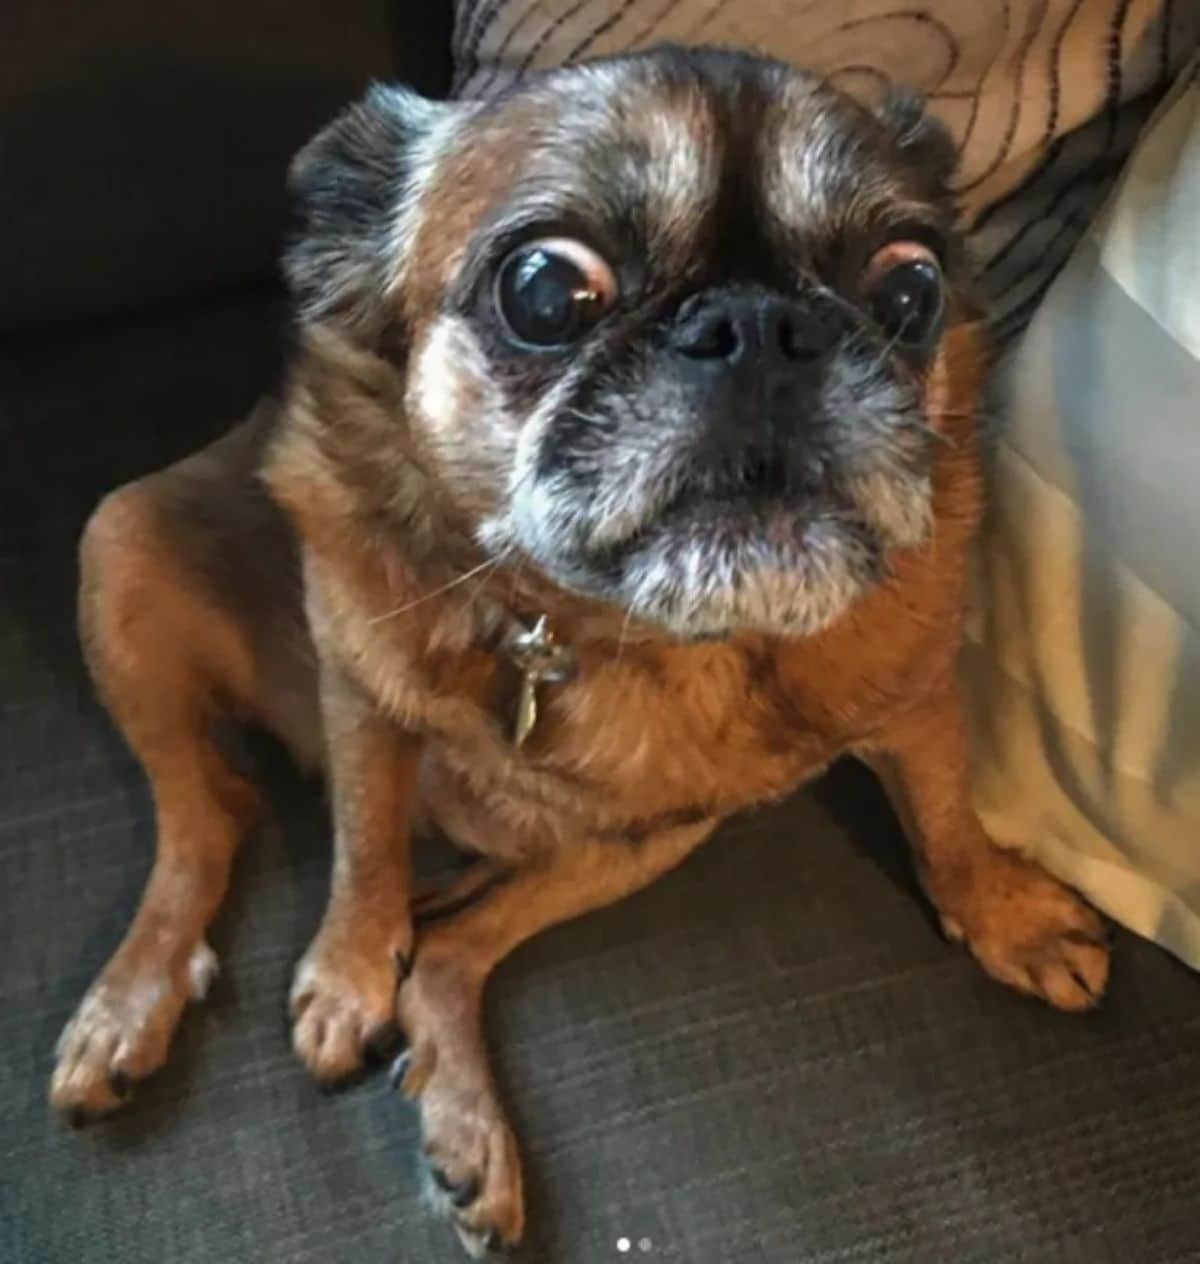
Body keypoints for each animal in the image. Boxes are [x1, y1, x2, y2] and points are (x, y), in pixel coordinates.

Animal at [51, 46, 1107, 1253]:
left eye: (911, 293)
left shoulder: (915, 700)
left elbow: (946, 817)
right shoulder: (362, 703)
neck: (624, 631)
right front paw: (346, 977)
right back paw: (127, 1010)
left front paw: (1006, 914)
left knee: (449, 951)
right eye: (547, 292)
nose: (759, 325)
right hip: (121, 550)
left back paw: (467, 1132)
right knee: (207, 818)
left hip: (654, 841)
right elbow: (364, 862)